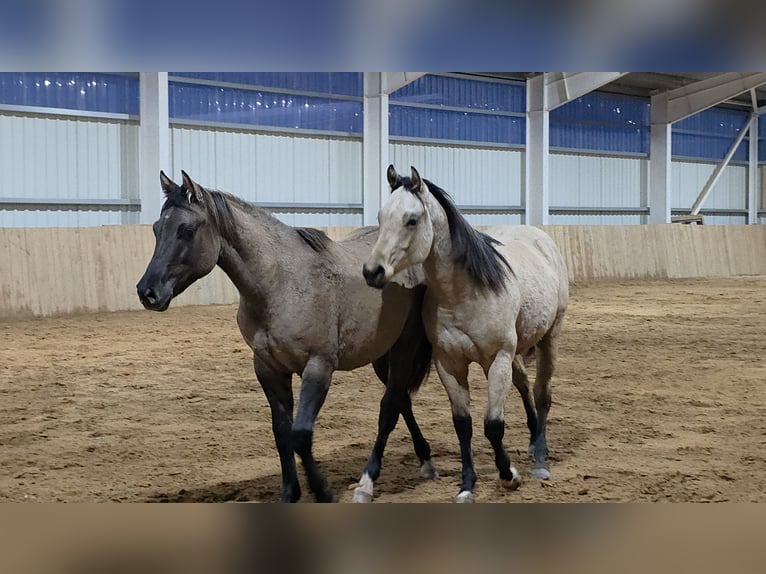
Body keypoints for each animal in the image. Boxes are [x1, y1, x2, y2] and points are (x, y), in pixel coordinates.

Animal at [136, 170, 438, 503]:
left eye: (187, 230)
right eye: (156, 228)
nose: (147, 292)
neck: (281, 284)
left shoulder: (318, 367)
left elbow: (301, 434)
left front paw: (323, 492)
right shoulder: (269, 370)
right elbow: (281, 433)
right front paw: (290, 493)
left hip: (404, 348)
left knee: (391, 406)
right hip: (381, 354)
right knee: (402, 401)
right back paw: (424, 460)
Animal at [363, 165, 568, 503]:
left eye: (411, 220)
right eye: (381, 217)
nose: (372, 271)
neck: (464, 294)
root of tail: (541, 238)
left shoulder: (497, 360)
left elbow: (493, 425)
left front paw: (509, 475)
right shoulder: (449, 364)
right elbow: (463, 425)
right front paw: (467, 485)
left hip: (549, 338)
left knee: (542, 393)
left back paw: (540, 459)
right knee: (524, 384)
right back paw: (530, 439)